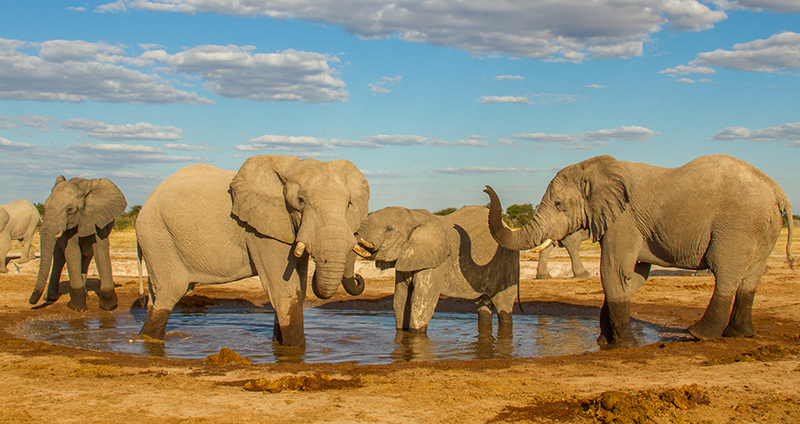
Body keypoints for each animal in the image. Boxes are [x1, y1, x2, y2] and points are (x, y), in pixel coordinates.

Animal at [28, 176, 128, 312]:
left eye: (70, 210)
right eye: (46, 206)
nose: (31, 302)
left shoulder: (97, 217)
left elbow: (100, 250)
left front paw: (109, 306)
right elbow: (72, 251)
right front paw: (77, 308)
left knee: (86, 257)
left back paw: (85, 296)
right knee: (59, 258)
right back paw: (50, 297)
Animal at [137, 156, 372, 348]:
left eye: (349, 203)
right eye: (300, 201)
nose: (358, 278)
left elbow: (298, 289)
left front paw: (279, 346)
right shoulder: (262, 231)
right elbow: (284, 291)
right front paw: (295, 351)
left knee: (156, 294)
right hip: (157, 234)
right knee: (171, 291)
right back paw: (149, 340)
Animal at [482, 154, 792, 346]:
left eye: (559, 204)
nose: (486, 188)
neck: (596, 169)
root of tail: (778, 192)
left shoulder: (624, 219)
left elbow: (613, 271)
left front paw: (622, 344)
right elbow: (633, 277)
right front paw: (605, 340)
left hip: (739, 225)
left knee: (727, 273)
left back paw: (699, 335)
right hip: (765, 227)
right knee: (751, 278)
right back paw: (740, 335)